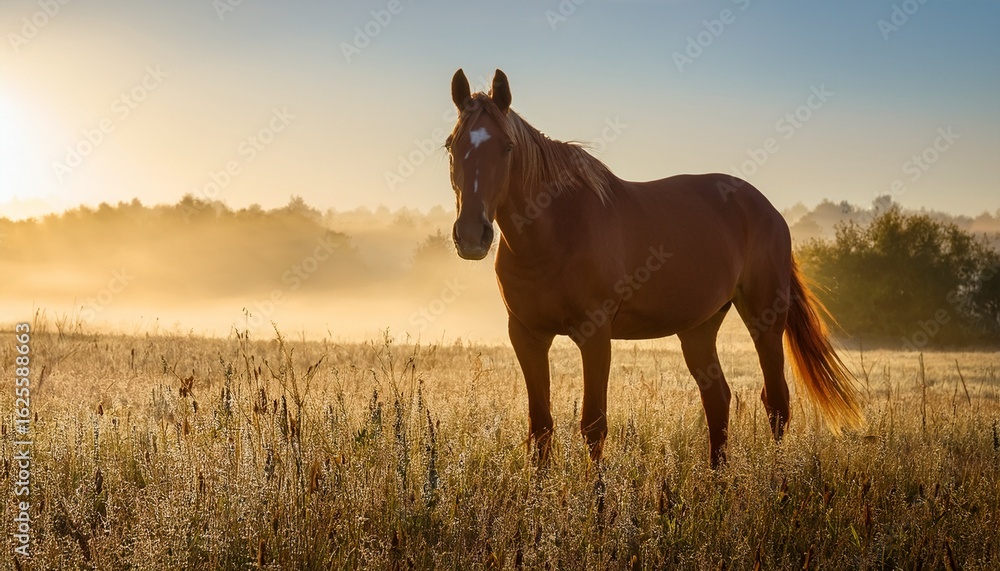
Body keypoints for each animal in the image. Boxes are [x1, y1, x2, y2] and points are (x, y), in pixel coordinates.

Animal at [444, 68, 862, 467]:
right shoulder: (527, 335)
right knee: (718, 399)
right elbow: (541, 425)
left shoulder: (594, 334)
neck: (554, 233)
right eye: (452, 145)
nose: (472, 235)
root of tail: (768, 209)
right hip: (699, 328)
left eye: (507, 147)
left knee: (776, 403)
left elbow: (594, 424)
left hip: (765, 319)